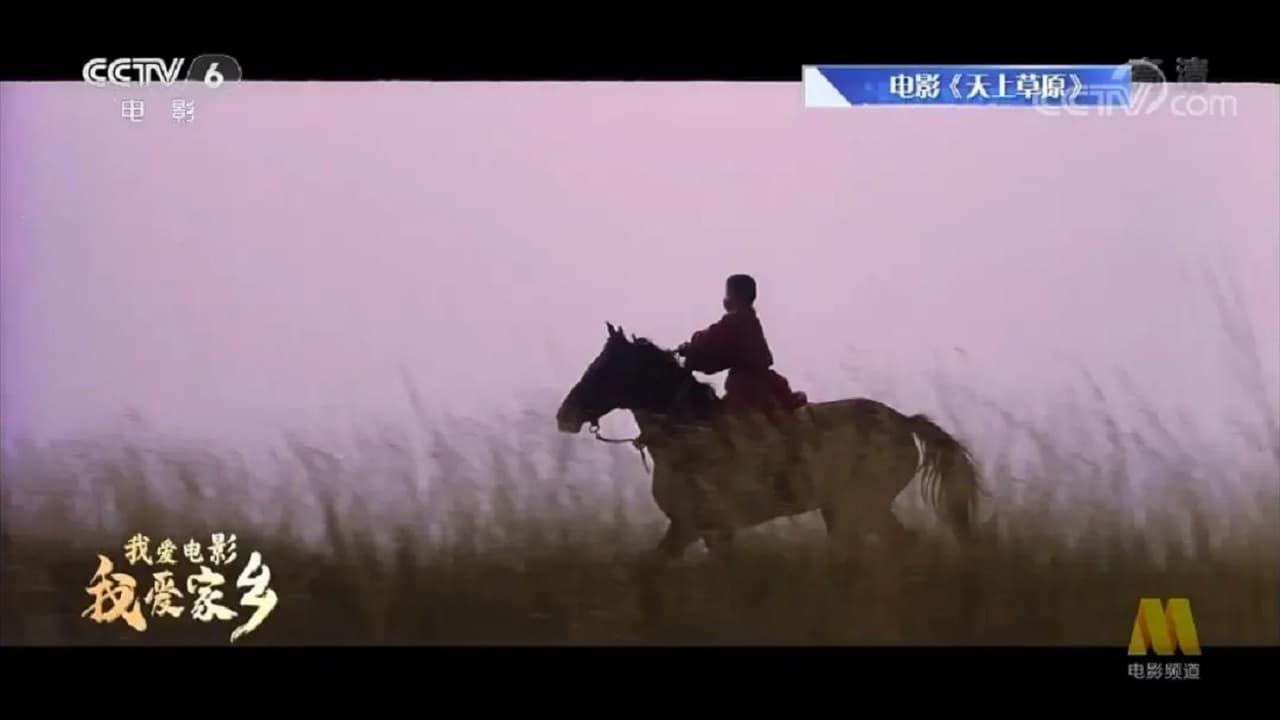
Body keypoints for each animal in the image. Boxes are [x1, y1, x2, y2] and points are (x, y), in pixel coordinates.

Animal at [550, 322, 977, 563]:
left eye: (604, 367)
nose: (565, 414)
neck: (687, 435)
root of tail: (903, 422)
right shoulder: (704, 531)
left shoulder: (694, 526)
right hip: (847, 508)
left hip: (862, 505)